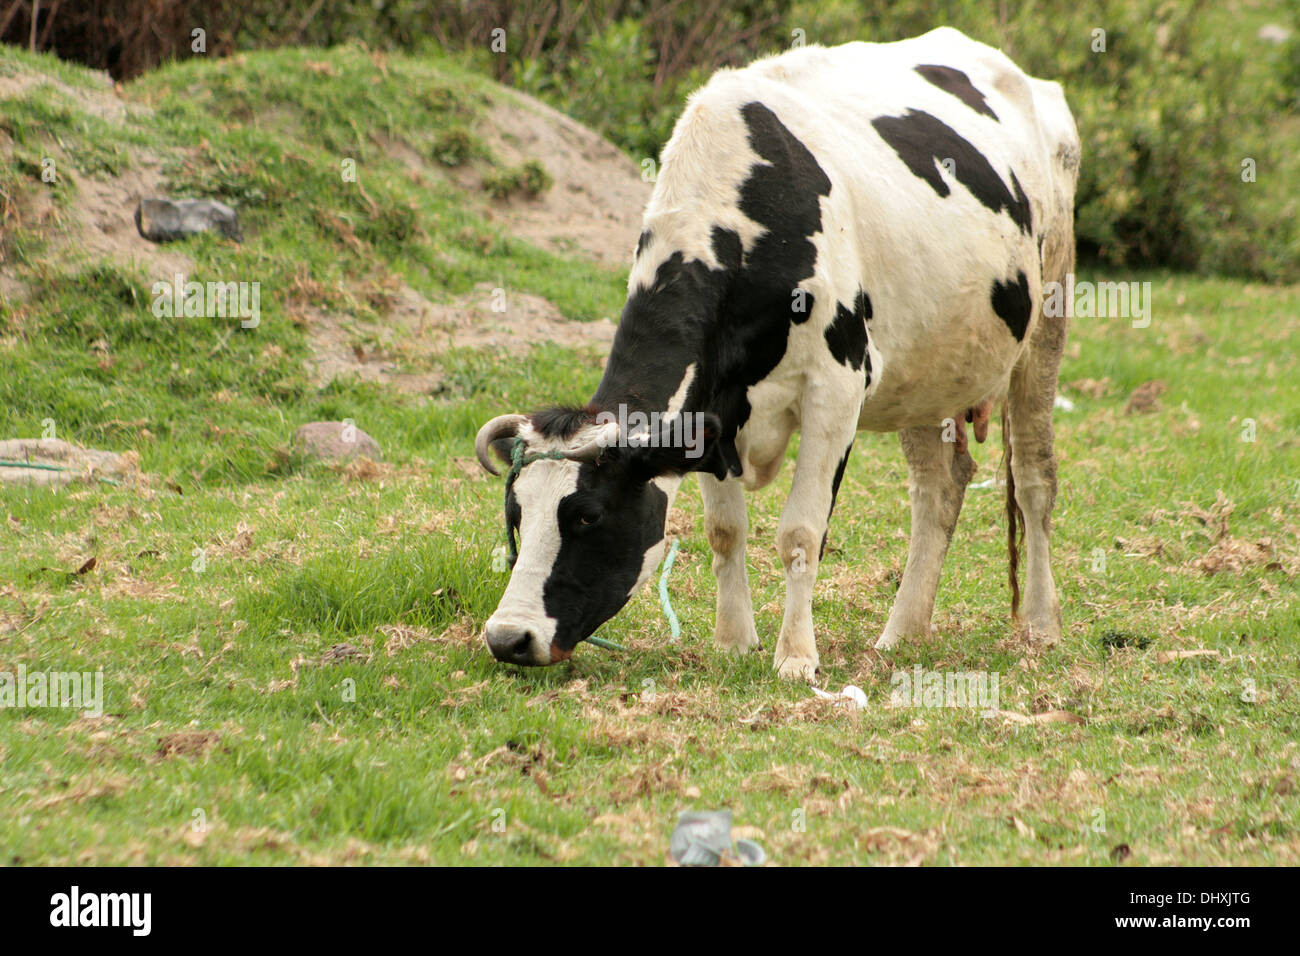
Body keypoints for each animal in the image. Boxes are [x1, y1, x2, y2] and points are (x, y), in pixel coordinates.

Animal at [474, 27, 1080, 680]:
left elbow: (800, 533)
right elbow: (724, 529)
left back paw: (1041, 626)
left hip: (1047, 319)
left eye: (588, 514)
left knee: (1035, 476)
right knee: (939, 487)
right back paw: (903, 633)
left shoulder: (836, 389)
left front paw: (795, 658)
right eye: (515, 514)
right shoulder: (707, 412)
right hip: (927, 367)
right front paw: (734, 642)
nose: (509, 638)